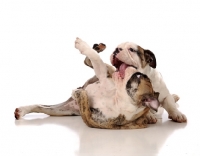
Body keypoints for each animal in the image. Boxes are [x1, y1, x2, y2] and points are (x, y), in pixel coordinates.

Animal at [14, 37, 160, 129]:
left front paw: (81, 44)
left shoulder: (102, 76)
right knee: (89, 61)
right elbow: (95, 59)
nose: (117, 49)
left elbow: (96, 59)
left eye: (132, 49)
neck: (118, 98)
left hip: (60, 110)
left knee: (41, 107)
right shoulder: (104, 75)